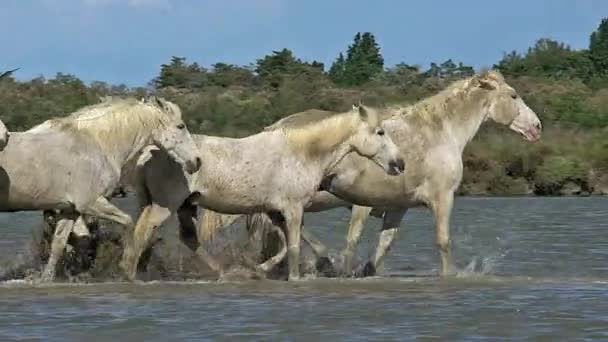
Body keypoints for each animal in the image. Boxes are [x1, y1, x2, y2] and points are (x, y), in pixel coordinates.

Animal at [0, 96, 202, 280]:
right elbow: (128, 222)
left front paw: (46, 278)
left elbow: (58, 244)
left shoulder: (70, 209)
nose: (197, 161)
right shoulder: (91, 204)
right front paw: (125, 268)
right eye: (181, 126)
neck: (98, 144)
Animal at [118, 104, 404, 280]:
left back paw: (225, 273)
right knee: (143, 233)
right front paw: (297, 277)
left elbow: (289, 245)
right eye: (380, 132)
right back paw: (130, 274)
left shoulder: (276, 212)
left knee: (186, 238)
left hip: (184, 206)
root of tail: (150, 152)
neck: (303, 153)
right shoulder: (293, 209)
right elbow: (295, 247)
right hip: (165, 206)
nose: (399, 164)